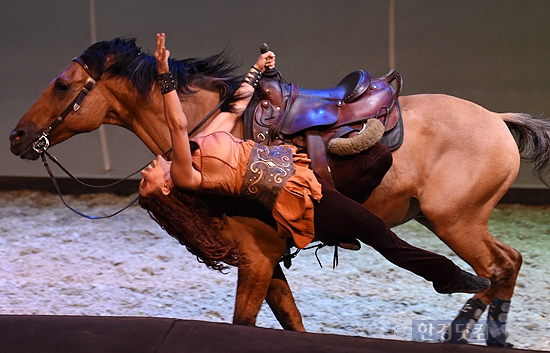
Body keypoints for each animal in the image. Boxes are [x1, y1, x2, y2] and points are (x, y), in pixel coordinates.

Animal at [8, 37, 550, 344]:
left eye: (62, 85)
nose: (16, 136)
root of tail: (497, 119)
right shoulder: (266, 263)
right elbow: (292, 324)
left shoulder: (256, 260)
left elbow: (246, 325)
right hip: (452, 219)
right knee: (509, 263)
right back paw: (488, 334)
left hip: (454, 220)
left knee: (496, 267)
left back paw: (464, 329)